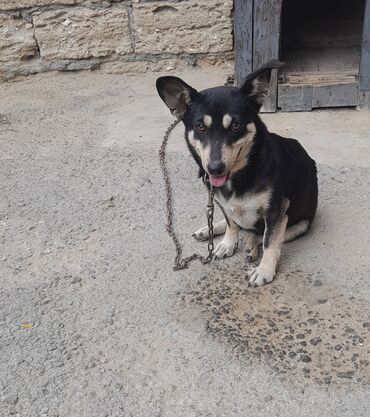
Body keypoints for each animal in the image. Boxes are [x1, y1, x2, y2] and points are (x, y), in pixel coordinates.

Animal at [156, 59, 318, 286]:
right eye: (200, 126)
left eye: (235, 125)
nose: (215, 168)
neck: (242, 173)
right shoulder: (222, 202)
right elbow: (232, 223)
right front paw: (227, 243)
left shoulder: (277, 210)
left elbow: (269, 241)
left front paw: (264, 270)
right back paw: (210, 230)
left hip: (301, 223)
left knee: (263, 234)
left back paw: (251, 243)